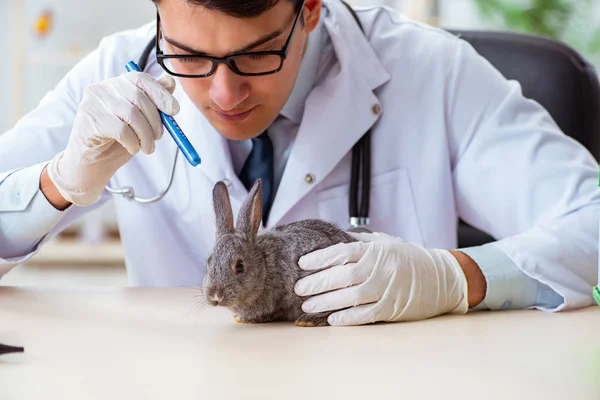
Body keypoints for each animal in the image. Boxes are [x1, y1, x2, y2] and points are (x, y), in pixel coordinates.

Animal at [204, 180, 358, 326]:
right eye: (208, 263)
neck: (264, 267)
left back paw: (307, 321)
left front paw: (247, 319)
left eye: (240, 266)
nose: (215, 296)